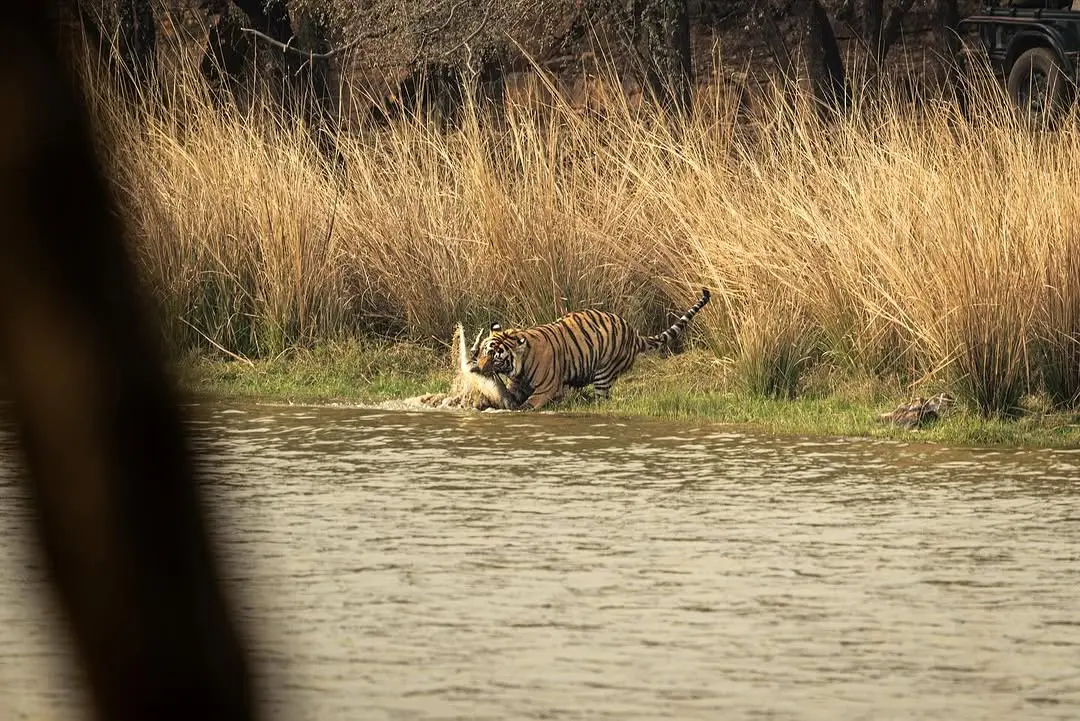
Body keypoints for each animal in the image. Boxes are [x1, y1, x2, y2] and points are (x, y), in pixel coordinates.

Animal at [470, 289, 708, 410]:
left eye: (494, 356)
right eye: (482, 351)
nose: (477, 368)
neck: (520, 364)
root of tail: (634, 334)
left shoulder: (546, 389)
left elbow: (528, 405)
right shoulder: (517, 385)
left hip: (604, 372)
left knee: (602, 399)